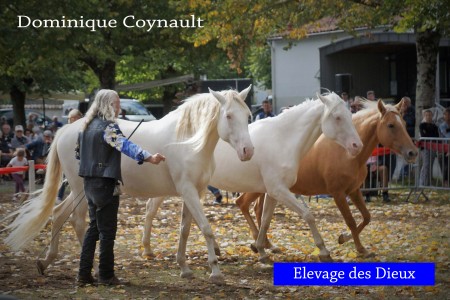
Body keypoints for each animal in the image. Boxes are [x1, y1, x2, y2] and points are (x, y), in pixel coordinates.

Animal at [4, 85, 253, 282]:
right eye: (229, 116)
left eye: (248, 115)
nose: (248, 151)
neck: (188, 141)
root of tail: (67, 129)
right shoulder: (188, 191)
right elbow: (206, 229)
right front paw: (216, 272)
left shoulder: (196, 192)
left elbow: (185, 230)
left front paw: (184, 268)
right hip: (80, 190)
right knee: (77, 221)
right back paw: (95, 270)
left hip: (77, 192)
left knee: (58, 214)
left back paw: (46, 261)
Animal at [142, 91, 364, 268]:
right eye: (337, 117)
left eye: (350, 115)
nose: (357, 146)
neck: (283, 139)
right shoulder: (279, 190)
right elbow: (308, 215)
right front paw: (324, 251)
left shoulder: (274, 192)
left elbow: (265, 220)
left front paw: (261, 250)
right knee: (152, 209)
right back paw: (148, 250)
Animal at [236, 99, 418, 258]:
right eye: (391, 125)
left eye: (404, 123)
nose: (413, 153)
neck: (346, 153)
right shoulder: (338, 193)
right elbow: (351, 221)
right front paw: (358, 248)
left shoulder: (354, 191)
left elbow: (366, 217)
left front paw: (347, 240)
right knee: (242, 203)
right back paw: (258, 244)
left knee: (256, 210)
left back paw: (266, 245)